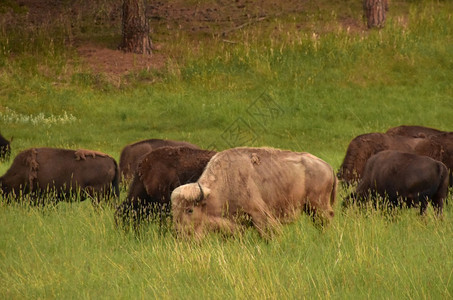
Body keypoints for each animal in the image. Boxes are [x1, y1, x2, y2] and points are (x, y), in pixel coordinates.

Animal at [170, 146, 336, 240]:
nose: (180, 235)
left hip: (318, 207)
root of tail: (327, 166)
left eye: (189, 210)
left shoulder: (260, 215)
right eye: (174, 210)